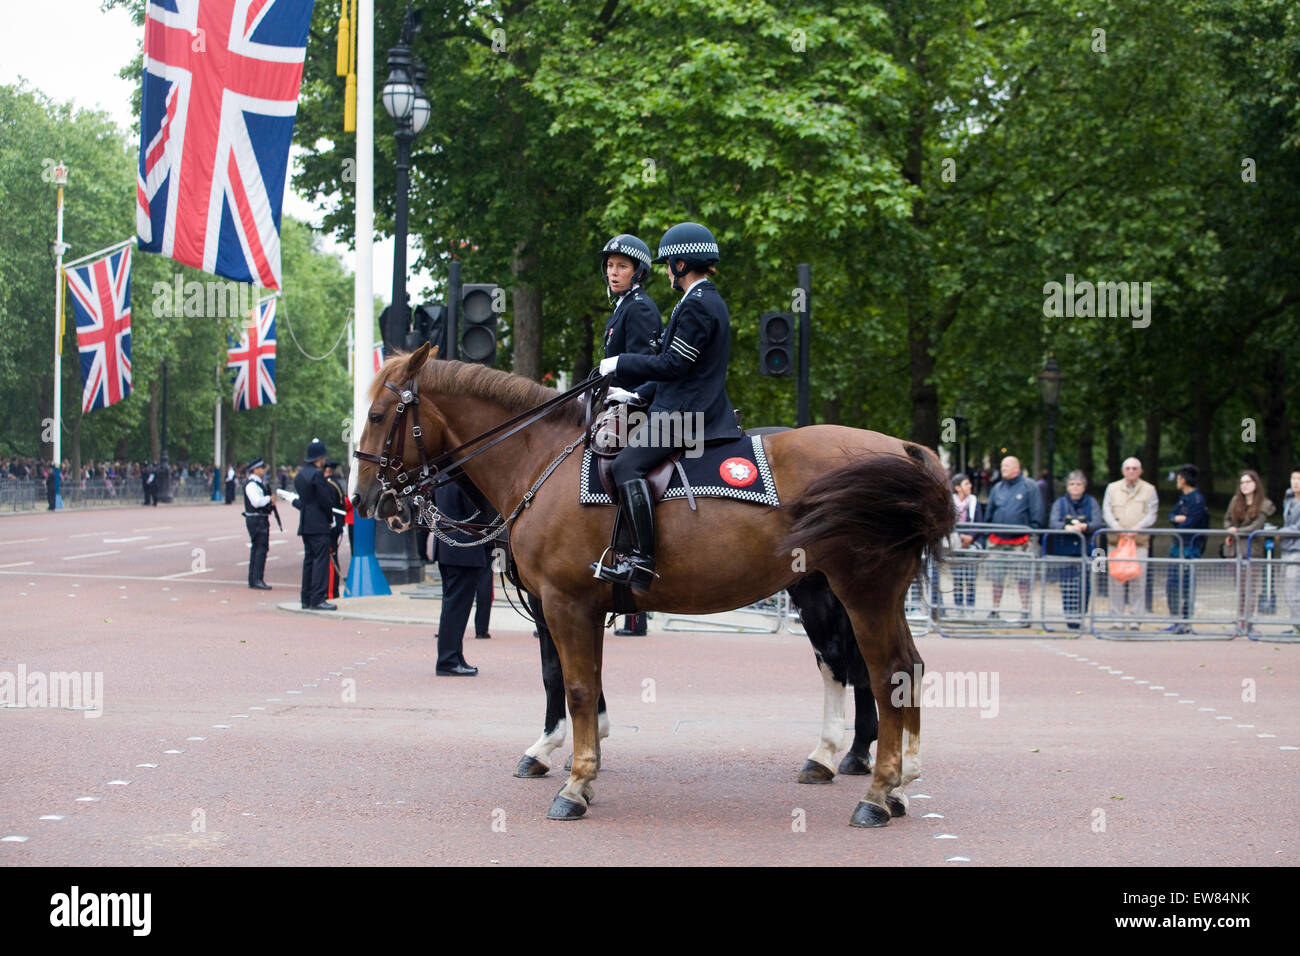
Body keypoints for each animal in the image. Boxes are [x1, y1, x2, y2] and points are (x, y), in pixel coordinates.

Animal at [356, 345, 956, 832]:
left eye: (377, 415)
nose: (366, 500)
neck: (541, 460)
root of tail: (907, 450)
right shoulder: (575, 605)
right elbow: (578, 681)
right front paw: (576, 756)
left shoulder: (563, 602)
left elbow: (573, 684)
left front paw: (575, 780)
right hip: (843, 590)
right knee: (889, 665)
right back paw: (888, 780)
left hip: (861, 589)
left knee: (882, 670)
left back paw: (875, 792)